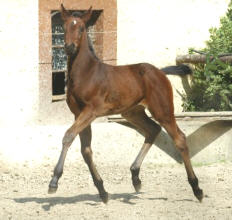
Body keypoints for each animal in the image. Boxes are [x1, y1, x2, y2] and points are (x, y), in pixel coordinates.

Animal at [48, 4, 203, 203]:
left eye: (81, 28)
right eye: (64, 26)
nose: (69, 47)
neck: (87, 73)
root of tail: (160, 72)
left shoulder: (91, 111)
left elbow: (68, 136)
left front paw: (54, 181)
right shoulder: (78, 113)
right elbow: (86, 150)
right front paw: (102, 190)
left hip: (162, 110)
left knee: (180, 139)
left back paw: (197, 189)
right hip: (132, 112)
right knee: (153, 130)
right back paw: (135, 176)